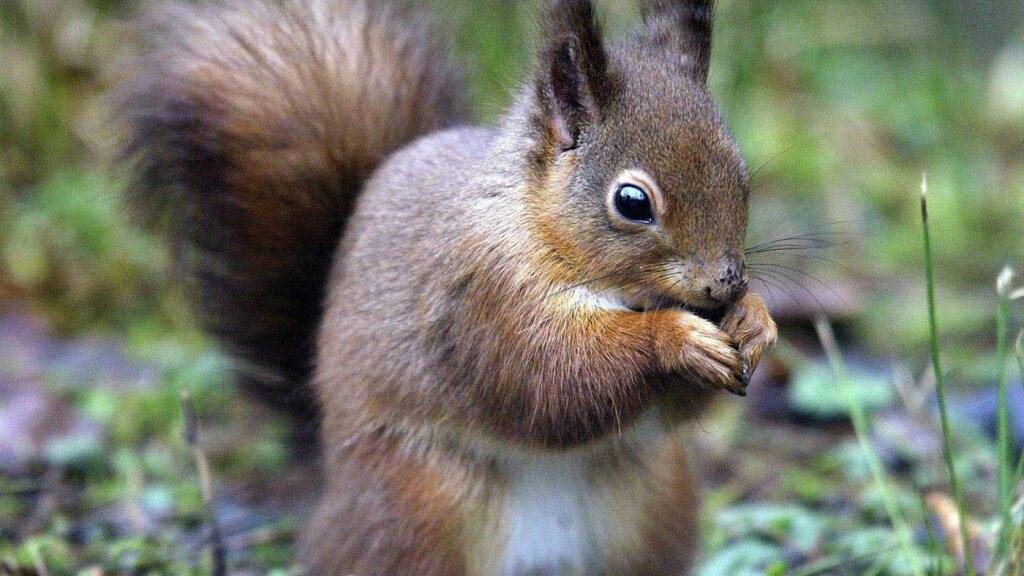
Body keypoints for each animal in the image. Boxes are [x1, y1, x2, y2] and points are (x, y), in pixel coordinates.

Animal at [119, 0, 774, 569]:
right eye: (632, 202)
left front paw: (755, 321)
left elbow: (674, 411)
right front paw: (675, 339)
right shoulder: (479, 296)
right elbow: (552, 380)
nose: (724, 284)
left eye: (741, 175)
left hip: (651, 507)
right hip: (416, 512)